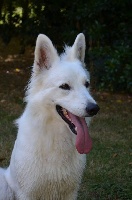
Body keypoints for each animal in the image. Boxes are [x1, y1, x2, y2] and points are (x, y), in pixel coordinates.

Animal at [0, 33, 99, 199]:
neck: (56, 137)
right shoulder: (27, 193)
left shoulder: (70, 192)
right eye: (64, 86)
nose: (94, 109)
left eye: (87, 84)